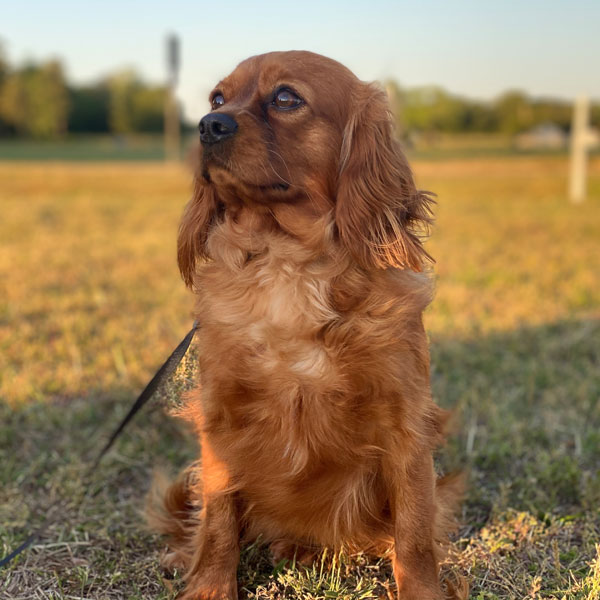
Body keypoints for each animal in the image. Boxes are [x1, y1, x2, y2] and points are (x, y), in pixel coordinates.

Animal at [149, 51, 464, 600]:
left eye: (285, 98)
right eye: (217, 97)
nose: (209, 124)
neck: (288, 265)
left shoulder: (406, 426)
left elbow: (414, 534)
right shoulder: (220, 420)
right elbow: (217, 523)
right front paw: (210, 586)